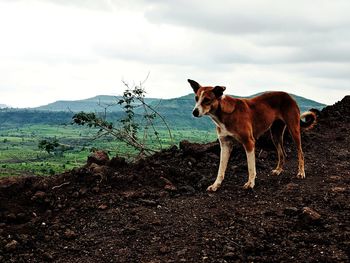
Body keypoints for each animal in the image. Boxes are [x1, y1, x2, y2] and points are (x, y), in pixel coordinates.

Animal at [189, 78, 318, 192]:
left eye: (207, 100)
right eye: (196, 98)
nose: (194, 112)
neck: (223, 115)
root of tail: (290, 96)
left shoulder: (249, 142)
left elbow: (251, 167)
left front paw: (250, 183)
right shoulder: (225, 145)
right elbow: (221, 169)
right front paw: (216, 185)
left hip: (294, 130)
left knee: (301, 153)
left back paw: (301, 172)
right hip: (275, 134)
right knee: (283, 153)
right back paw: (278, 170)